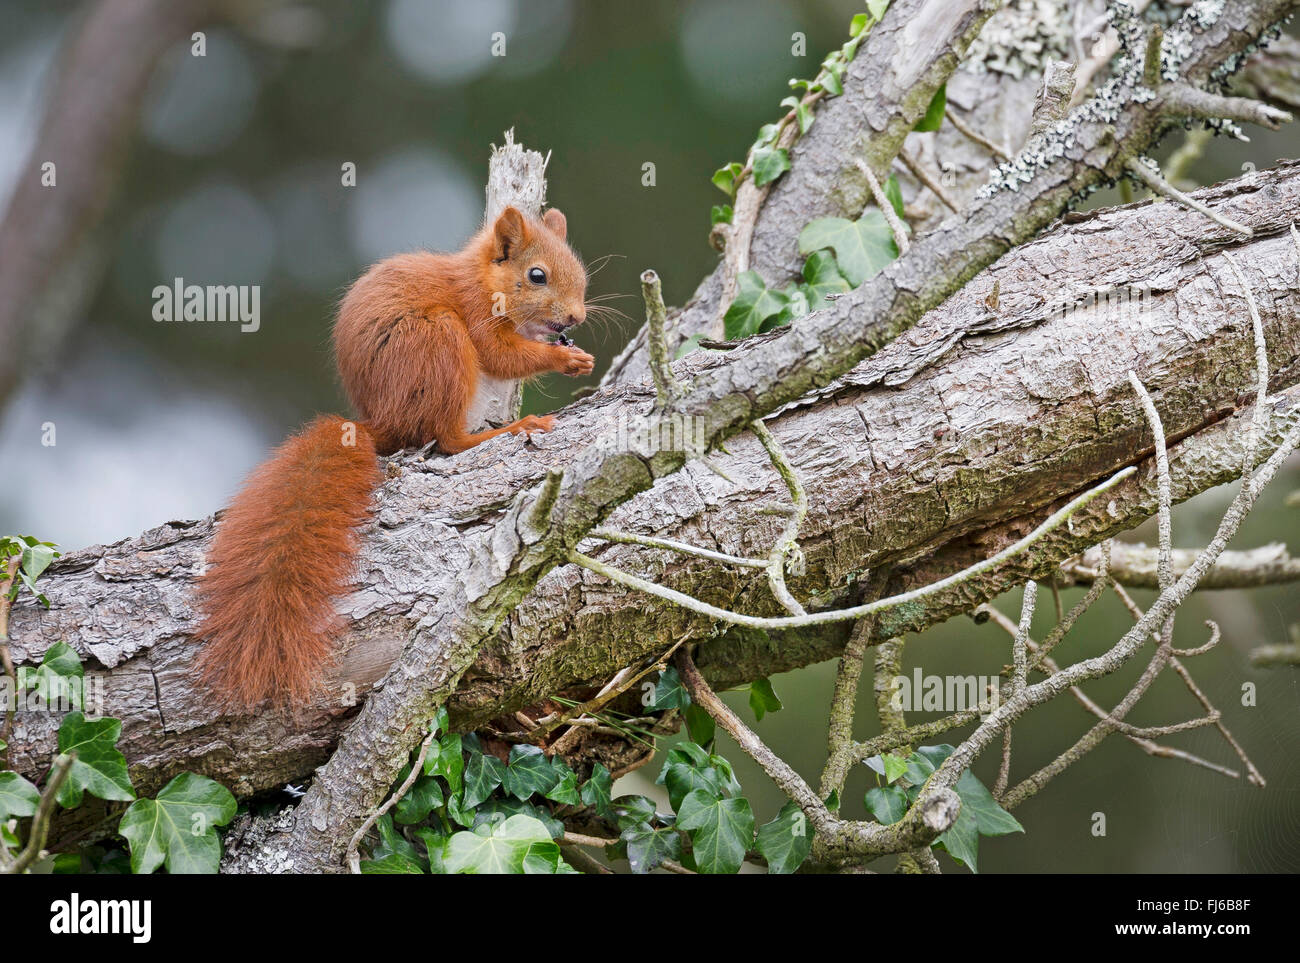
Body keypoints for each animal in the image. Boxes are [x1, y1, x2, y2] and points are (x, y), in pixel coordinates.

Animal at [193, 207, 595, 706]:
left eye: (580, 273)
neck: (483, 280)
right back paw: (508, 430)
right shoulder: (477, 316)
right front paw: (564, 361)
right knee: (446, 439)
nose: (576, 317)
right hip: (440, 340)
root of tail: (380, 421)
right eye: (536, 275)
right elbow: (502, 358)